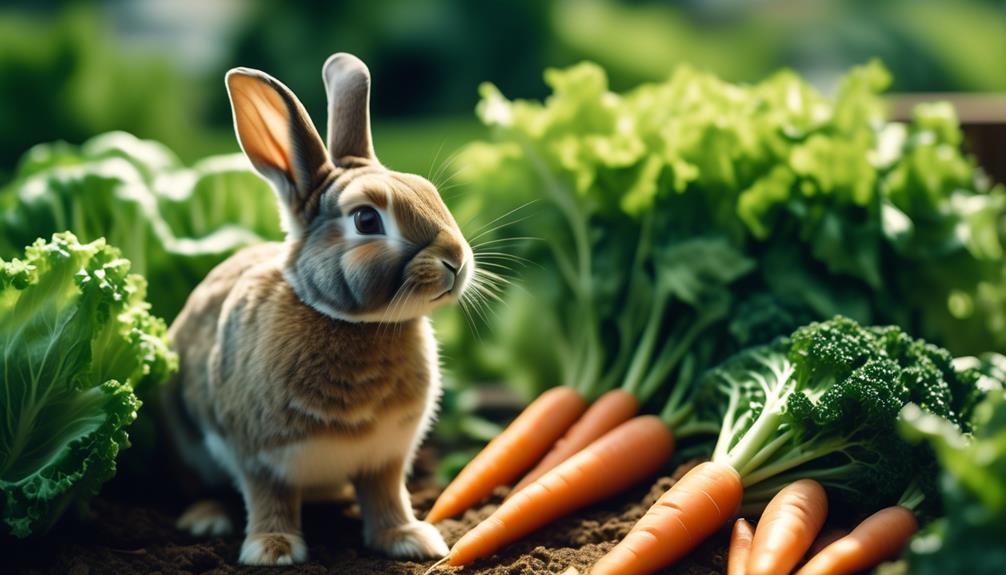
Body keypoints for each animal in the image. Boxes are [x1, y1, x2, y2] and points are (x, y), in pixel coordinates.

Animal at [157, 51, 470, 562]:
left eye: (429, 192)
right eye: (366, 219)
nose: (456, 260)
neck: (354, 322)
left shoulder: (386, 457)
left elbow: (387, 497)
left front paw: (410, 540)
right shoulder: (260, 456)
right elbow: (269, 499)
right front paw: (272, 549)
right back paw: (206, 519)